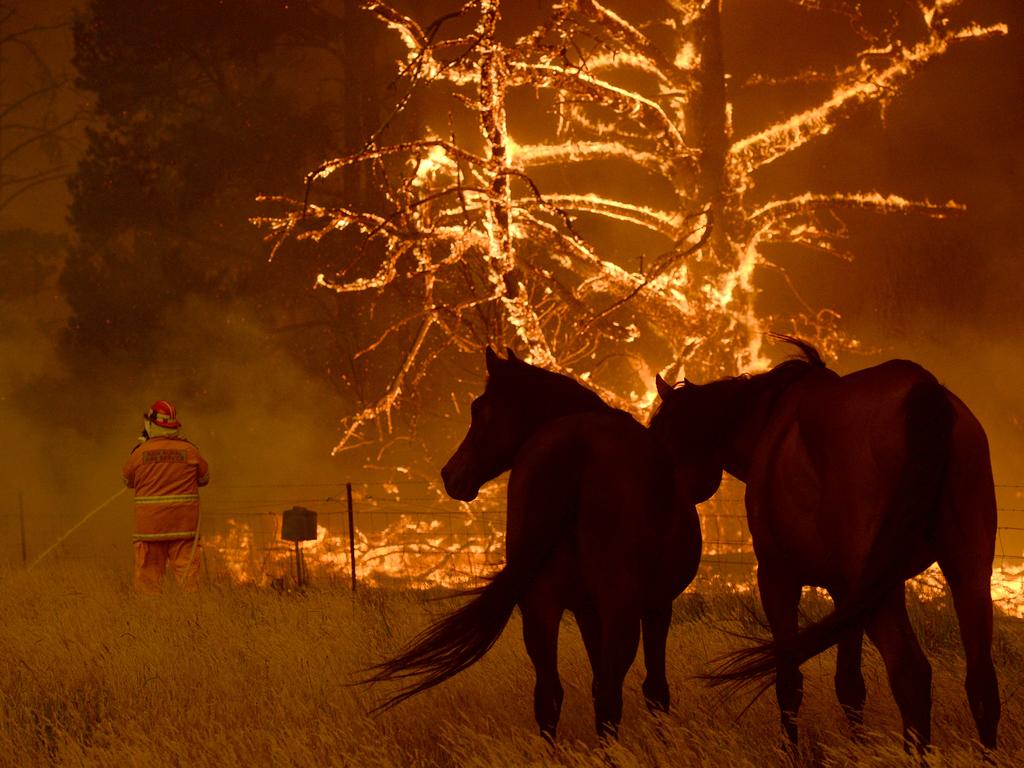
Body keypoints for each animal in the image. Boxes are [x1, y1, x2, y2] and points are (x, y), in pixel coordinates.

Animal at [362, 348, 704, 741]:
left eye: (478, 408)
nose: (450, 475)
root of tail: (577, 445)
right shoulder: (654, 605)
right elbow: (654, 689)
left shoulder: (588, 610)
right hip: (617, 609)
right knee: (607, 696)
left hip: (541, 606)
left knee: (550, 694)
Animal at [647, 335, 999, 753]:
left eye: (663, 439)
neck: (769, 423)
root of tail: (923, 392)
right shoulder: (846, 593)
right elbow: (849, 684)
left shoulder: (778, 579)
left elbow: (789, 680)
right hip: (968, 575)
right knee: (981, 681)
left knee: (911, 673)